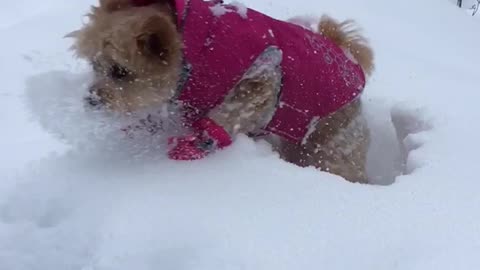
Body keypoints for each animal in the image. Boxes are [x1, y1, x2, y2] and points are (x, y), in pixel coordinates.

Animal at [67, 0, 376, 184]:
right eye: (94, 65)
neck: (194, 49)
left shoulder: (263, 76)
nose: (90, 100)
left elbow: (227, 115)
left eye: (120, 71)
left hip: (331, 146)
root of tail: (348, 56)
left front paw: (194, 145)